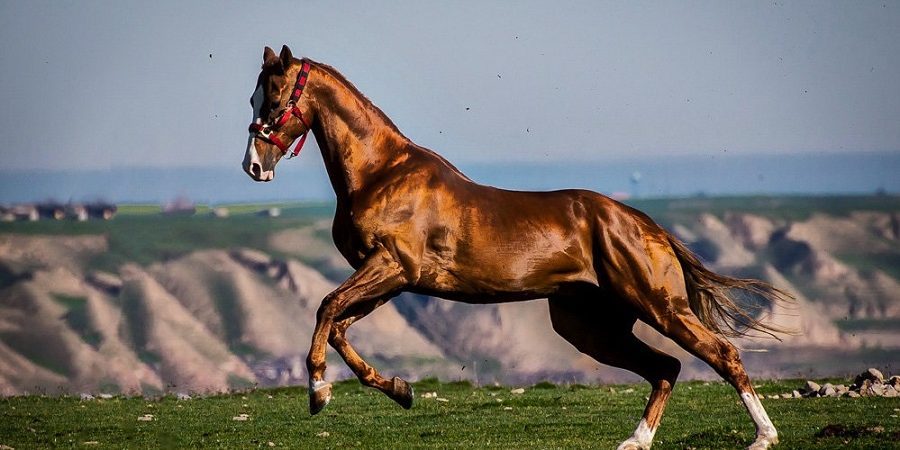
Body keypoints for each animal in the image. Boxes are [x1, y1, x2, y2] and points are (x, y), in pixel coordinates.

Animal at [239, 45, 788, 450]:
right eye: (252, 99)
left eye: (274, 98)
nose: (253, 166)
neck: (382, 173)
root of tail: (646, 225)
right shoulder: (389, 280)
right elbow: (337, 326)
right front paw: (399, 391)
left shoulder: (393, 267)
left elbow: (326, 307)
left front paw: (318, 392)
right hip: (589, 325)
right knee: (665, 368)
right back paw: (636, 441)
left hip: (658, 305)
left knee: (721, 353)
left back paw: (763, 436)